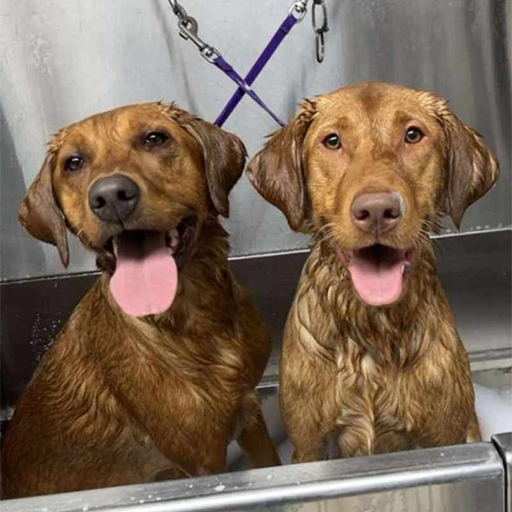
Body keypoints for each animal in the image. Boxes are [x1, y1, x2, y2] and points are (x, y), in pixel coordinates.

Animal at [1, 102, 280, 498]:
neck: (195, 318)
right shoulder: (203, 461)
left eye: (154, 138)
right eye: (73, 162)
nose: (110, 196)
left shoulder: (249, 410)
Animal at [246, 83, 498, 460]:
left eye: (413, 134)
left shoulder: (444, 439)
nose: (377, 210)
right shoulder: (308, 445)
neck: (371, 328)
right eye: (332, 140)